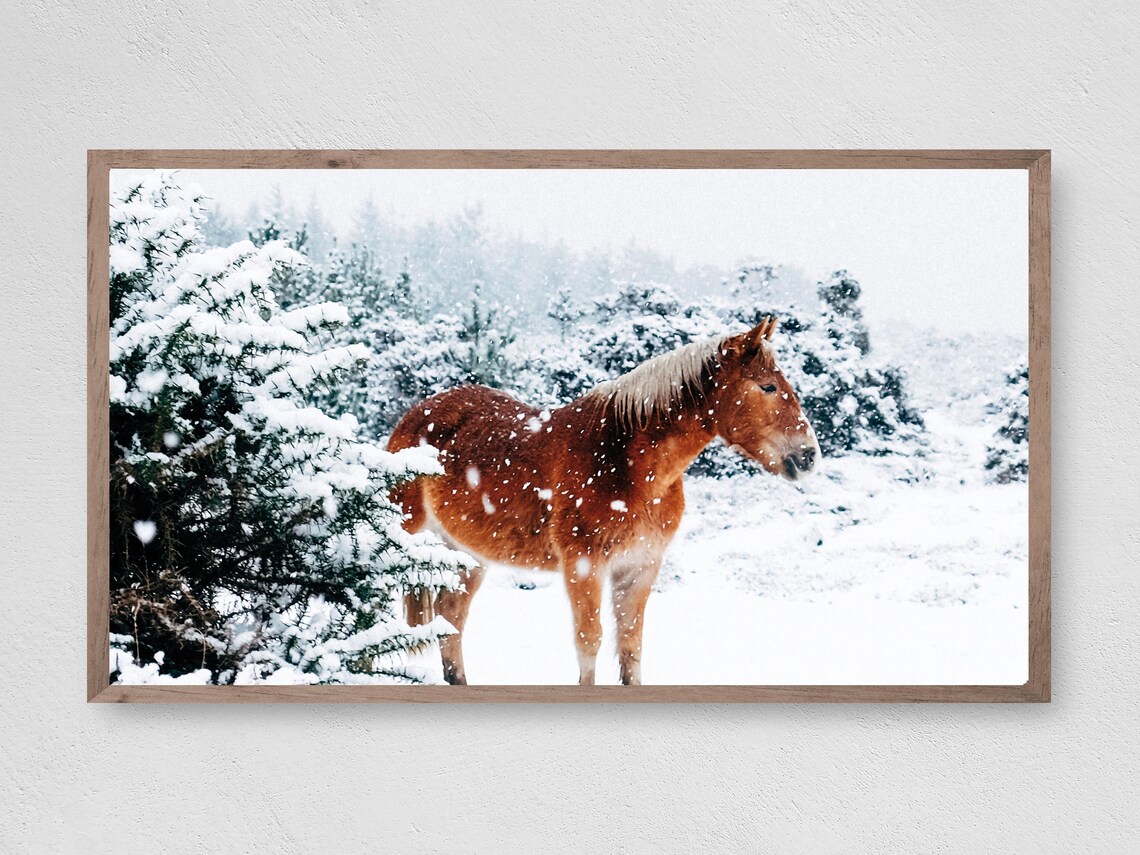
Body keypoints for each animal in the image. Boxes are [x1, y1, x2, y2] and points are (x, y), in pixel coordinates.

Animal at [388, 315, 820, 686]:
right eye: (767, 386)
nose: (809, 455)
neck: (629, 464)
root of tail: (415, 415)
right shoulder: (584, 565)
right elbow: (589, 642)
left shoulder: (641, 567)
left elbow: (631, 646)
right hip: (404, 538)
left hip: (467, 554)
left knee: (451, 618)